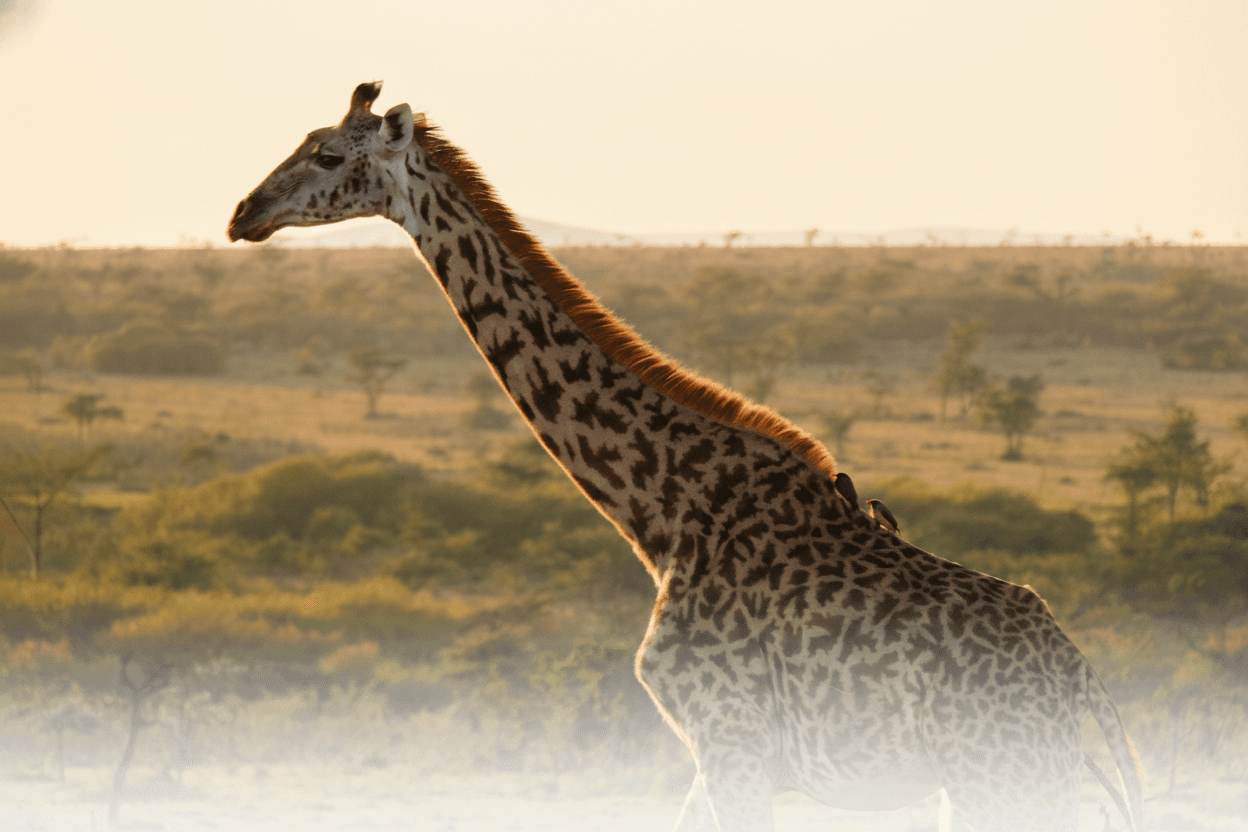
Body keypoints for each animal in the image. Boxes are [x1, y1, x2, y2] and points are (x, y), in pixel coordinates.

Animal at [228, 82, 1143, 832]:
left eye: (328, 153)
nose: (243, 213)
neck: (662, 507)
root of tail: (1079, 680)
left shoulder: (730, 740)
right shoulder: (713, 756)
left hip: (1005, 775)